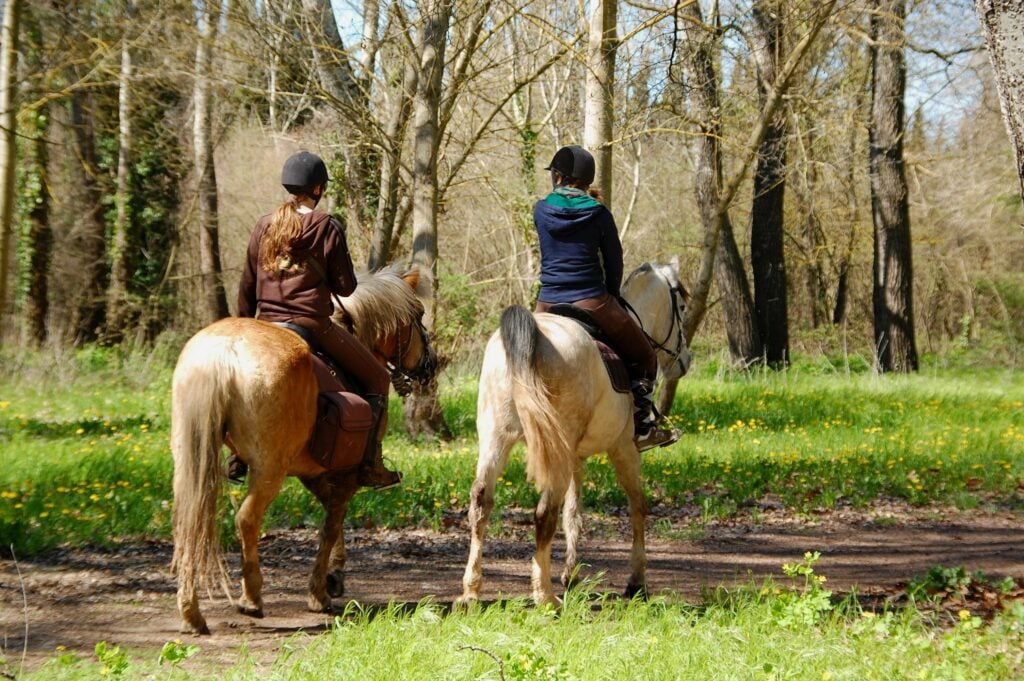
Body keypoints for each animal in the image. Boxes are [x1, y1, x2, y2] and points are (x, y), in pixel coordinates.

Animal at [168, 264, 440, 630]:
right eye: (419, 315)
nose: (431, 364)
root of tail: (224, 351)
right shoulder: (345, 475)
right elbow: (331, 524)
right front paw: (320, 591)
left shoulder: (313, 473)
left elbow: (332, 520)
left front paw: (333, 577)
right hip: (268, 471)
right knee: (247, 520)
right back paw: (251, 598)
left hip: (190, 460)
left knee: (187, 521)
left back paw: (191, 612)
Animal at [460, 260, 692, 606]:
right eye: (681, 307)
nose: (685, 361)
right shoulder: (624, 449)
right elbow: (637, 505)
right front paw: (637, 581)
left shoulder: (574, 456)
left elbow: (573, 513)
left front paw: (571, 574)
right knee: (545, 513)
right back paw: (544, 596)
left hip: (496, 439)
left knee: (481, 503)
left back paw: (471, 591)